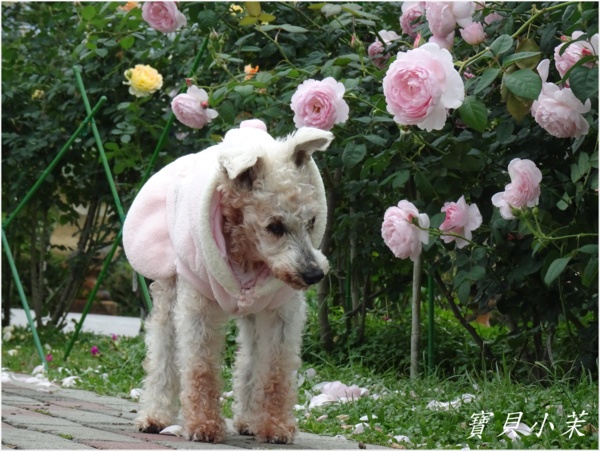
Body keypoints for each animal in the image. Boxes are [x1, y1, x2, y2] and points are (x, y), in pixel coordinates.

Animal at [122, 123, 333, 444]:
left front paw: (275, 426)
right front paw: (203, 425)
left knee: (250, 357)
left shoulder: (282, 313)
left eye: (311, 222)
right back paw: (155, 415)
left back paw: (247, 419)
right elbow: (200, 366)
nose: (313, 275)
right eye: (274, 226)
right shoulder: (197, 307)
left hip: (254, 315)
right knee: (162, 351)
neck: (249, 256)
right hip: (168, 293)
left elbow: (276, 369)